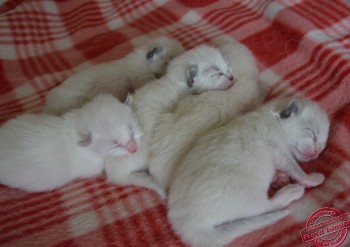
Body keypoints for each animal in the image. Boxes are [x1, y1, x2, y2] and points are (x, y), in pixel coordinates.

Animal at [168, 97, 330, 247]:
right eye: (313, 133)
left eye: (323, 144)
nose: (317, 151)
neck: (273, 121)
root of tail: (188, 228)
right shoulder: (278, 150)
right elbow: (295, 168)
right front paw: (312, 178)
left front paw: (279, 178)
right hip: (246, 194)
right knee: (267, 206)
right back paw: (291, 191)